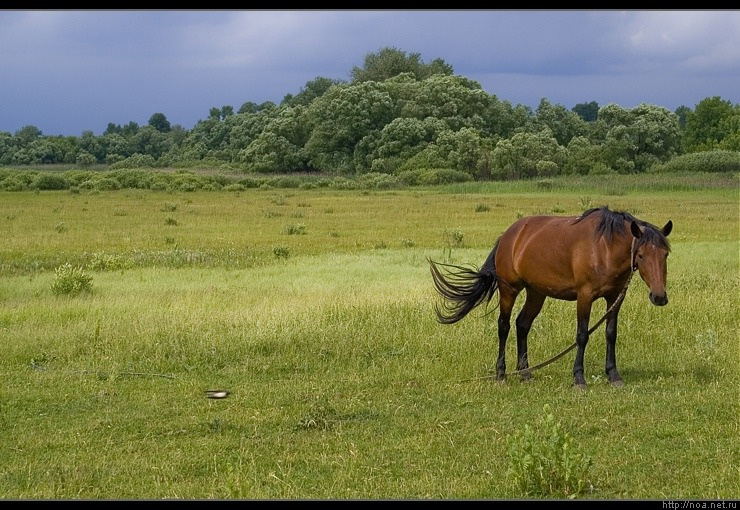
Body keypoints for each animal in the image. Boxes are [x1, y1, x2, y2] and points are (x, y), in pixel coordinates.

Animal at [428, 206, 672, 389]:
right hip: (509, 289)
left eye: (665, 254)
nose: (659, 296)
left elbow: (611, 334)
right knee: (504, 326)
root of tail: (508, 235)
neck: (605, 248)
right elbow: (582, 335)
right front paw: (579, 379)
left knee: (522, 324)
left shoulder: (614, 298)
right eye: (641, 255)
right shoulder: (585, 296)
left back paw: (525, 372)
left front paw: (614, 376)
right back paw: (501, 375)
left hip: (536, 292)